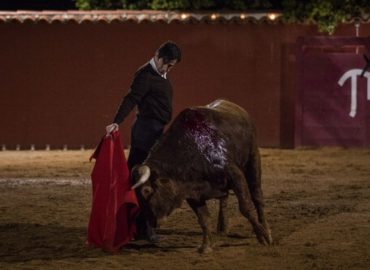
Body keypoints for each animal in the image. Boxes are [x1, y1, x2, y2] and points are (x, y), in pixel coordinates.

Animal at [131, 99, 272, 253]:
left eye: (146, 191)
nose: (152, 222)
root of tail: (239, 109)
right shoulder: (192, 193)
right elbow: (203, 219)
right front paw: (206, 246)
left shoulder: (235, 175)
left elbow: (246, 207)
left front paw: (262, 236)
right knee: (224, 199)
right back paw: (222, 227)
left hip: (253, 159)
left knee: (257, 197)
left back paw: (265, 229)